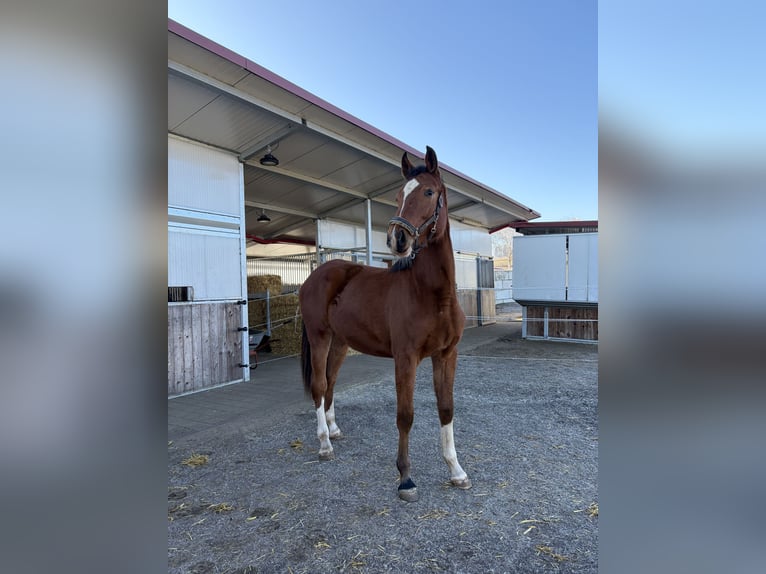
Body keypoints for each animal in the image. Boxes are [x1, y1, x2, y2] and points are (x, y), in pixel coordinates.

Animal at [298, 146, 471, 502]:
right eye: (397, 196)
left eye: (428, 192)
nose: (397, 239)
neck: (433, 295)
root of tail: (315, 276)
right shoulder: (405, 358)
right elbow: (405, 416)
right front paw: (405, 478)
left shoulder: (447, 355)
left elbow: (446, 409)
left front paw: (456, 471)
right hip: (320, 337)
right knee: (319, 386)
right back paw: (324, 444)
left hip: (339, 342)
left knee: (330, 383)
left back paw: (334, 431)